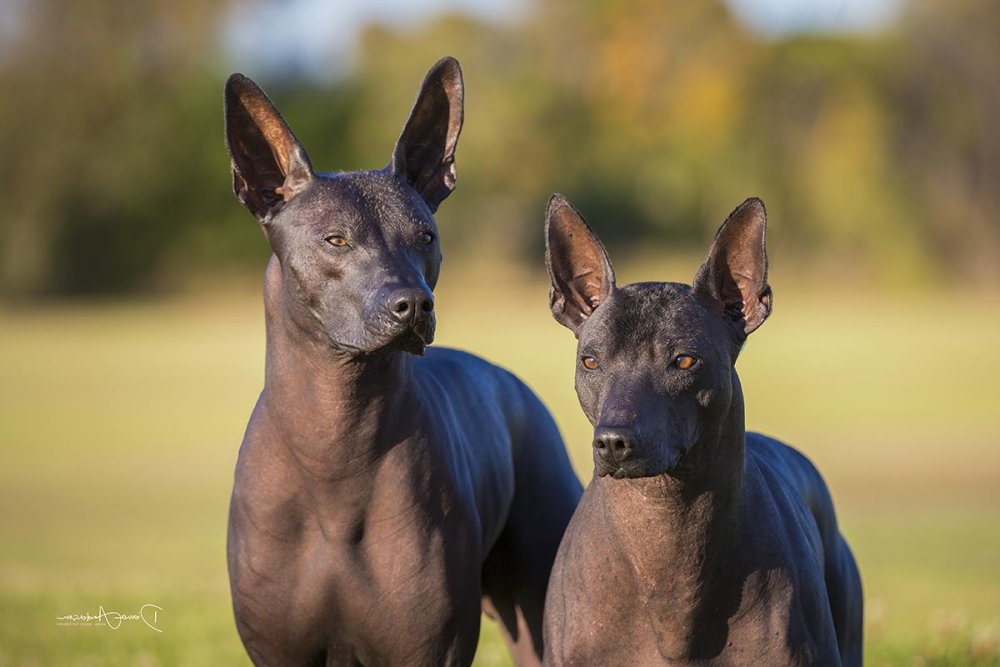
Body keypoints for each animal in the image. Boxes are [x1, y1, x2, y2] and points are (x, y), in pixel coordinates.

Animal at [223, 58, 584, 667]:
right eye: (336, 240)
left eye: (426, 237)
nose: (414, 304)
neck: (334, 445)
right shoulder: (278, 651)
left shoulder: (429, 650)